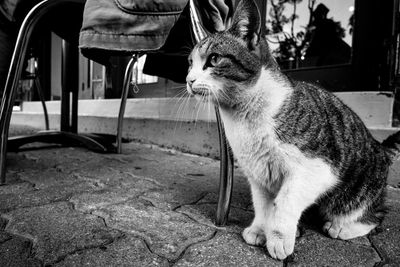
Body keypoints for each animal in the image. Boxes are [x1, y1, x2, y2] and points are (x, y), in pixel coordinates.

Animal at [185, 0, 400, 262]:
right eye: (190, 63)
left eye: (214, 59)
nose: (189, 80)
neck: (244, 117)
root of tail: (381, 149)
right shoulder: (258, 171)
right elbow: (262, 204)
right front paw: (260, 229)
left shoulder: (316, 170)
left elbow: (285, 202)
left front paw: (278, 237)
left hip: (353, 194)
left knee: (374, 215)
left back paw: (342, 227)